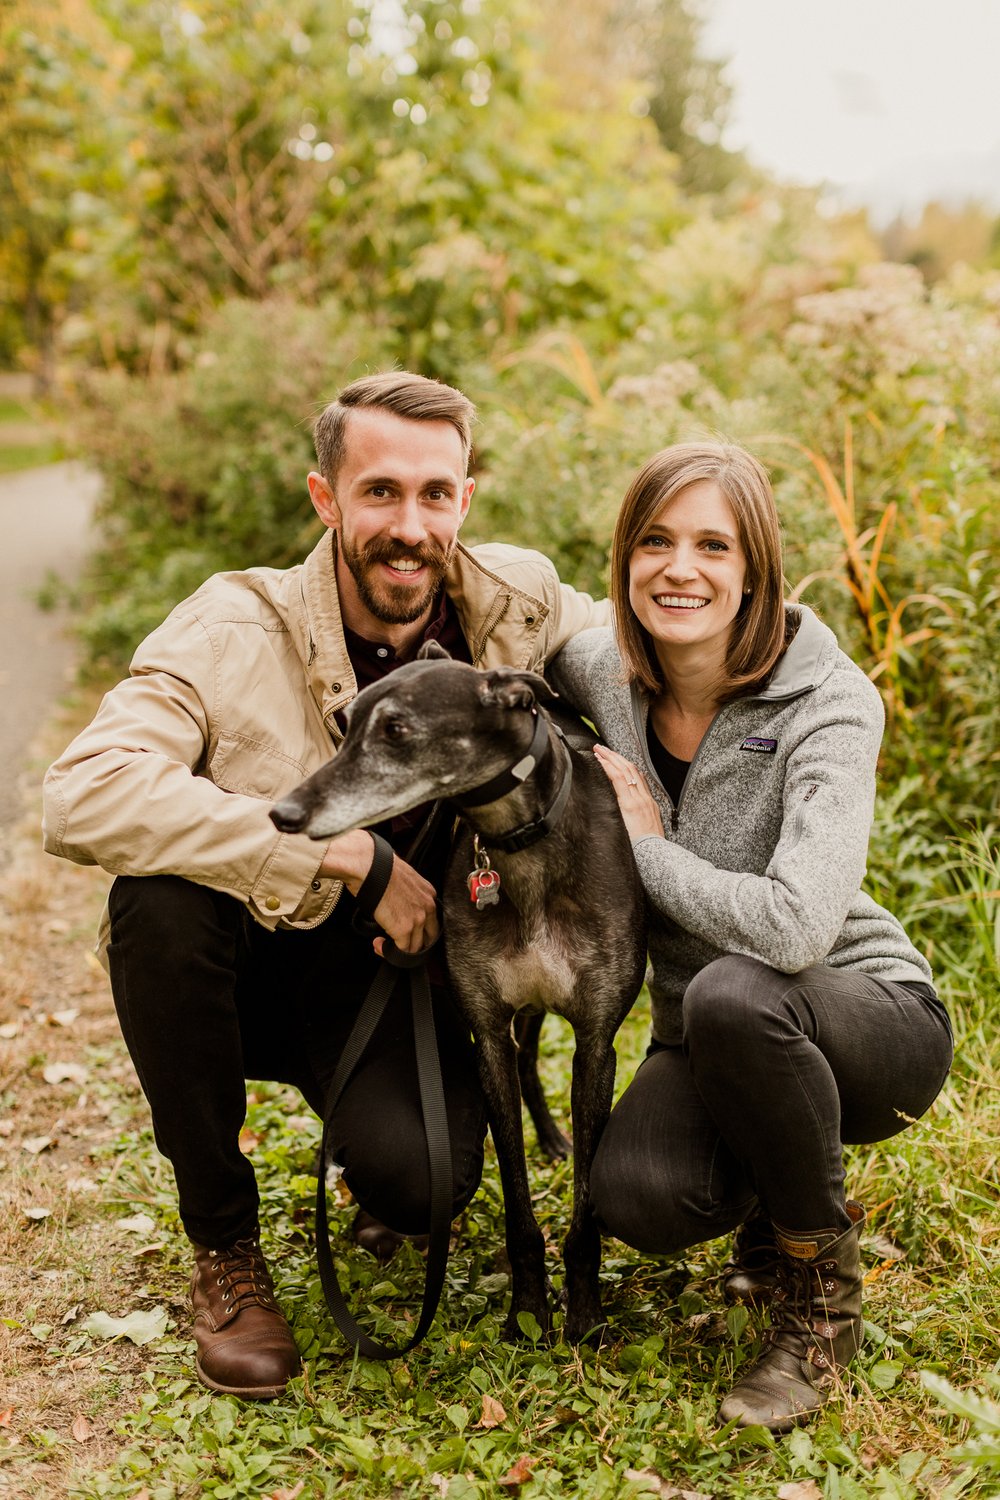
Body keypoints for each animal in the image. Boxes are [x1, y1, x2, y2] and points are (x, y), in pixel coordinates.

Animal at [271, 645, 650, 1350]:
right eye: (349, 724)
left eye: (396, 729)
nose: (282, 815)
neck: (522, 842)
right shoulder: (487, 1037)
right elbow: (518, 1203)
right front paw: (528, 1311)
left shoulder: (597, 1041)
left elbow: (586, 1206)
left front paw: (584, 1316)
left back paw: (555, 1141)